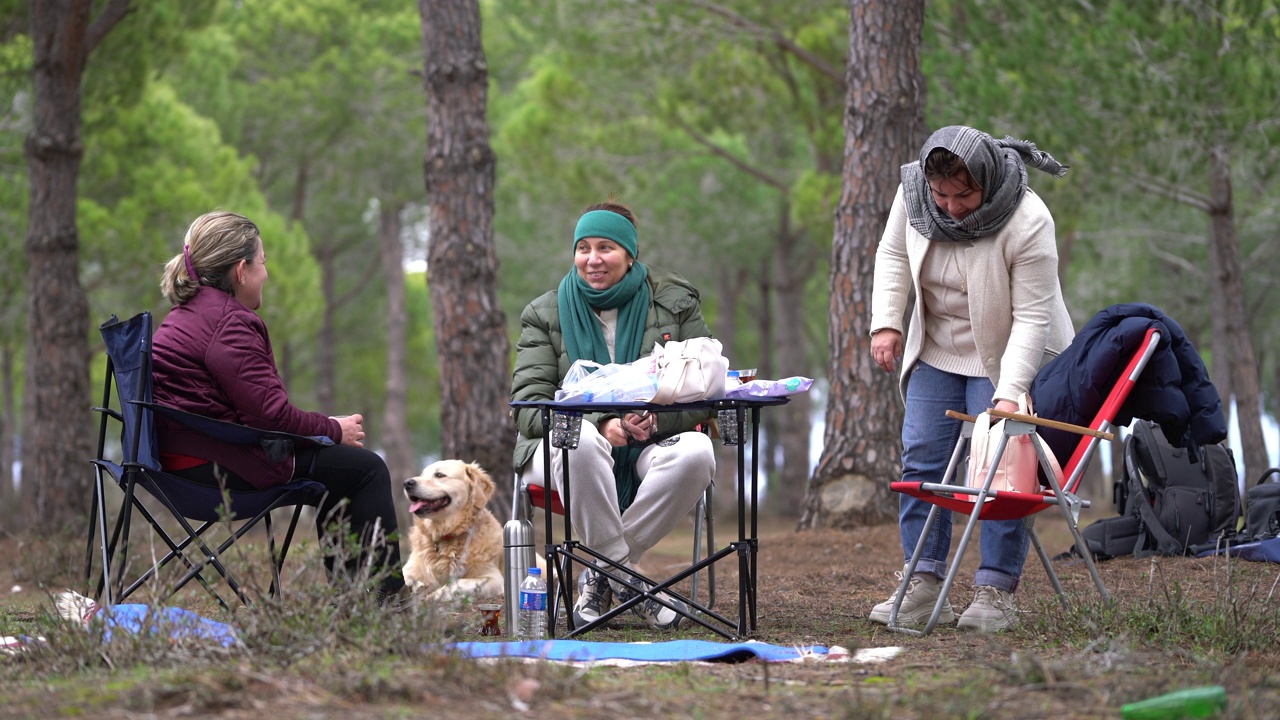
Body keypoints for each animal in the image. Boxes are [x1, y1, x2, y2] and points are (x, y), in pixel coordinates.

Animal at [401, 458, 501, 599]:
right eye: (422, 475)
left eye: (439, 475)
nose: (407, 483)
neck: (445, 533)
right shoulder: (409, 568)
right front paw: (417, 586)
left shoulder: (494, 578)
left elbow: (456, 584)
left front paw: (433, 596)